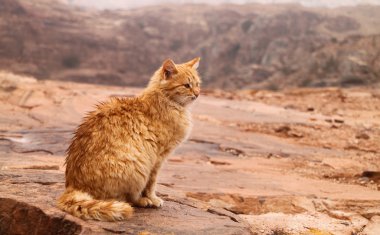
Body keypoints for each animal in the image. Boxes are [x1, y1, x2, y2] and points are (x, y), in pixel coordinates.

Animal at [57, 57, 200, 220]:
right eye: (187, 85)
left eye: (197, 84)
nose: (198, 93)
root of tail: (73, 186)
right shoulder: (157, 159)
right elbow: (151, 184)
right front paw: (153, 198)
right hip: (138, 168)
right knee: (127, 199)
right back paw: (144, 201)